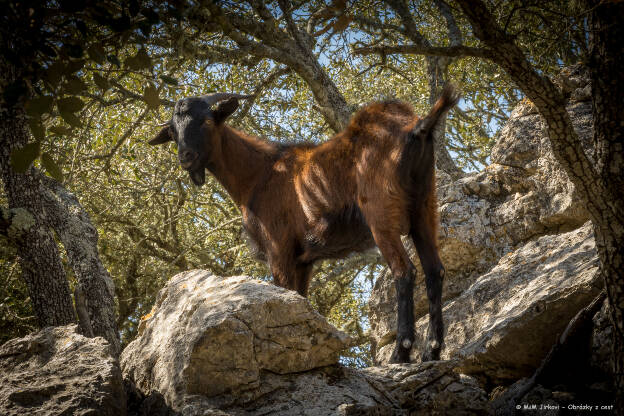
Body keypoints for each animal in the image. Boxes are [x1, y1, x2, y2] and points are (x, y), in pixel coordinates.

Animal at [146, 86, 458, 362]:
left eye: (207, 120)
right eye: (173, 131)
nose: (186, 157)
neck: (258, 176)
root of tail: (416, 128)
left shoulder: (279, 250)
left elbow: (285, 292)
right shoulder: (304, 260)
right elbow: (299, 299)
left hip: (381, 215)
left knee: (404, 271)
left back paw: (400, 353)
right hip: (424, 208)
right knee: (435, 270)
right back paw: (432, 351)